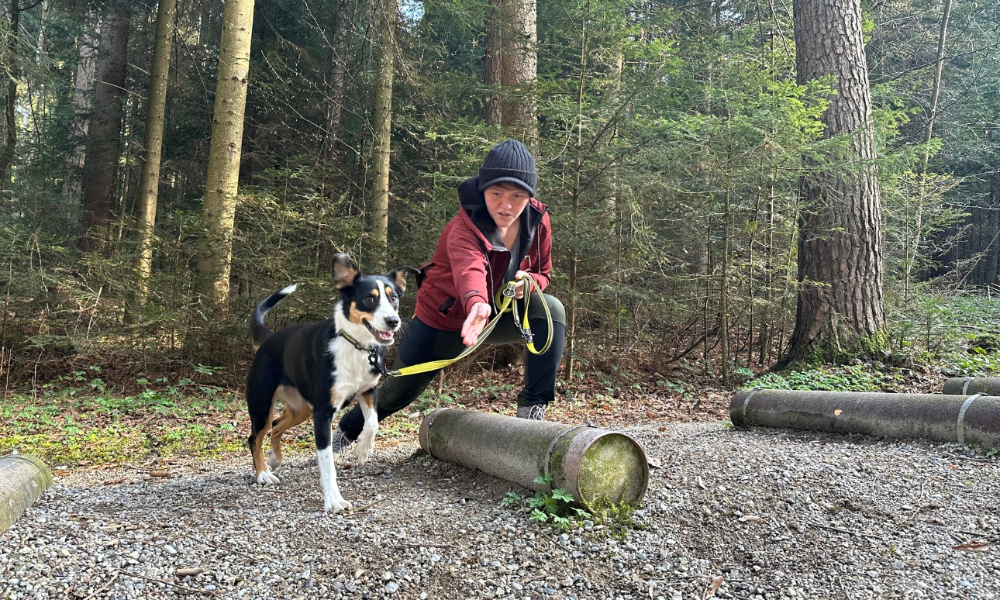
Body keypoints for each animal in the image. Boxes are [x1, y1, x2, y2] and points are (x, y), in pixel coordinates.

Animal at [246, 253, 415, 512]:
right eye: (369, 298)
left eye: (393, 297)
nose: (393, 321)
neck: (355, 346)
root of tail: (269, 338)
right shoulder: (323, 414)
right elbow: (327, 464)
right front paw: (334, 500)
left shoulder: (369, 391)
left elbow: (373, 422)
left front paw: (363, 450)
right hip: (262, 406)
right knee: (254, 437)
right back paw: (263, 473)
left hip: (302, 409)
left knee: (276, 425)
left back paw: (274, 458)